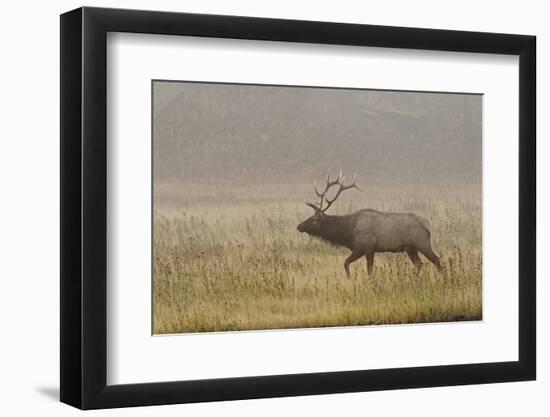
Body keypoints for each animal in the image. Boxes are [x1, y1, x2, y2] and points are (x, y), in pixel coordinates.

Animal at [298, 171, 444, 278]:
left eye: (315, 219)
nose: (299, 226)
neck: (348, 233)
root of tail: (427, 225)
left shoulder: (367, 247)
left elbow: (366, 269)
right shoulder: (361, 249)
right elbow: (347, 263)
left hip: (422, 242)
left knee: (436, 260)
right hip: (410, 248)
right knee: (419, 264)